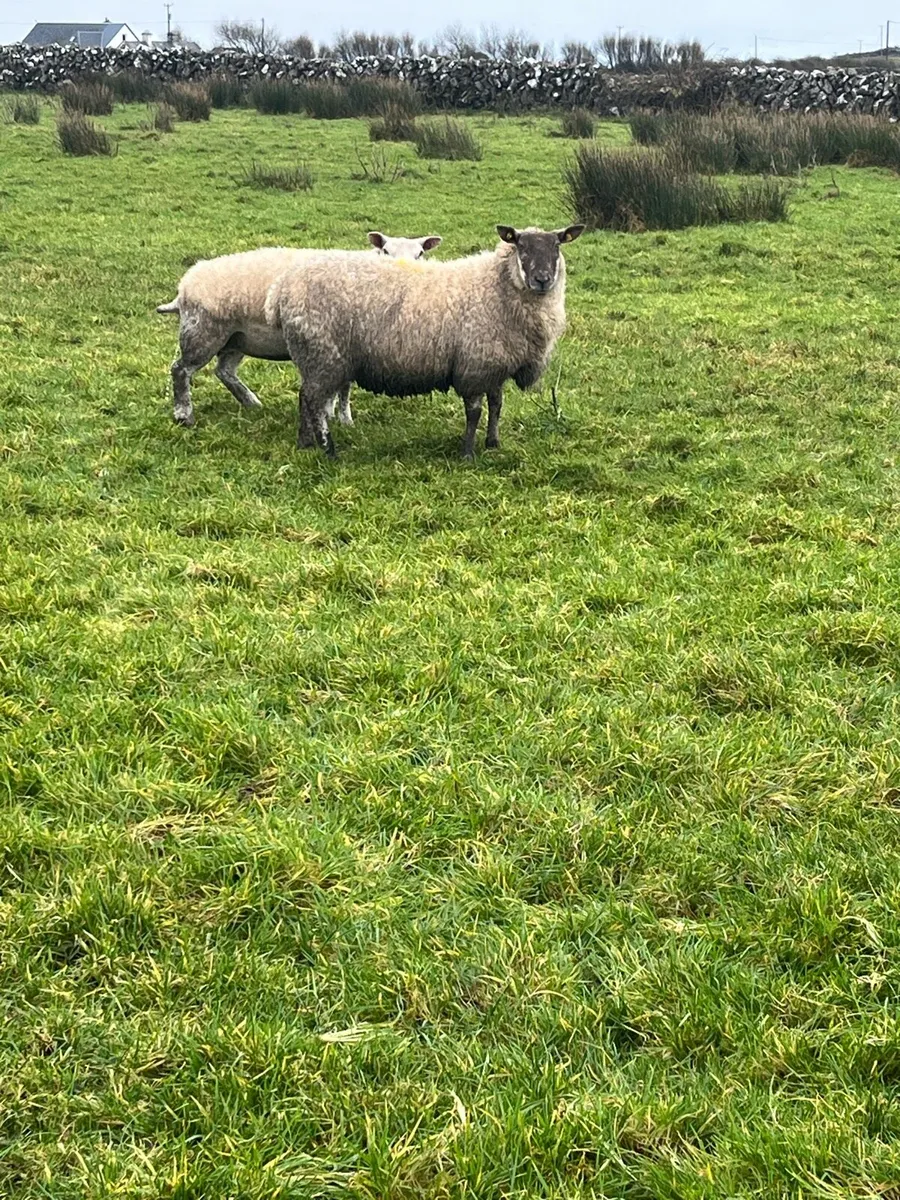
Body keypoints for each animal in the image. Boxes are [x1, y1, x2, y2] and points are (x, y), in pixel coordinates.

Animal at [156, 232, 442, 428]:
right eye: (384, 250)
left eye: (420, 253)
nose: (407, 270)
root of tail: (184, 287)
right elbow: (342, 388)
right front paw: (340, 418)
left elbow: (343, 387)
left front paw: (338, 416)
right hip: (202, 332)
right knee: (180, 370)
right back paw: (184, 414)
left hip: (237, 338)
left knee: (223, 371)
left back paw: (251, 402)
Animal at [264, 223, 585, 459]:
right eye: (521, 246)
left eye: (557, 245)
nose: (542, 279)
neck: (496, 286)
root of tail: (282, 288)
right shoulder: (473, 365)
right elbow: (475, 412)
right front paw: (467, 453)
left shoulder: (494, 364)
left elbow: (496, 405)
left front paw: (493, 443)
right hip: (322, 353)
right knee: (314, 399)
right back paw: (328, 450)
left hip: (313, 355)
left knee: (305, 397)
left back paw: (305, 443)